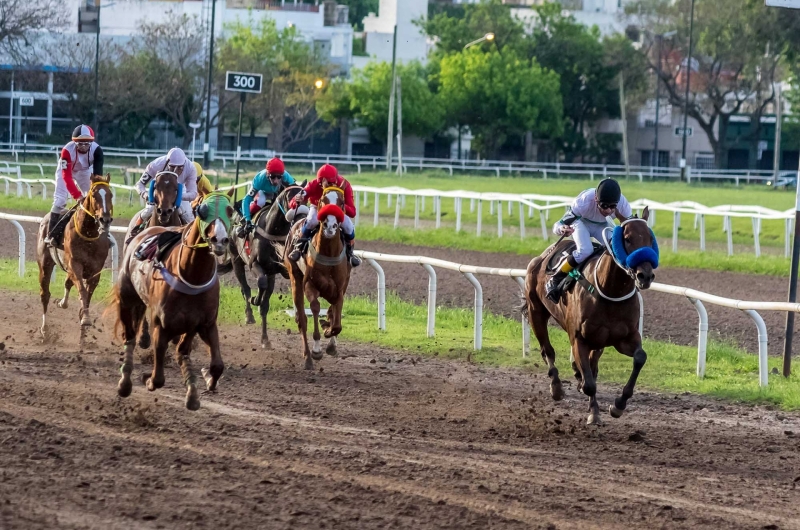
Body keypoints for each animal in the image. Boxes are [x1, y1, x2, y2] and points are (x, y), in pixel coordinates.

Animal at [36, 174, 114, 346]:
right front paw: (85, 320)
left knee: (67, 283)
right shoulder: (75, 265)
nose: (105, 220)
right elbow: (83, 292)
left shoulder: (95, 271)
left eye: (111, 195)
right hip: (45, 264)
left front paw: (83, 336)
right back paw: (44, 331)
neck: (89, 235)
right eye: (94, 195)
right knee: (45, 294)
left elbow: (86, 297)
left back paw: (62, 304)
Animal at [115, 190, 234, 408]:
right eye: (203, 210)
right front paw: (148, 379)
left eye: (230, 210)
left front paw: (205, 381)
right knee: (129, 336)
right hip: (127, 299)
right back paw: (125, 382)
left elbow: (216, 365)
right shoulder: (161, 325)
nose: (219, 241)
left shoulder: (205, 324)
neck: (192, 275)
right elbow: (158, 377)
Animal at [228, 180, 310, 346]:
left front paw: (265, 338)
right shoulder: (254, 264)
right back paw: (249, 315)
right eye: (291, 200)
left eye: (306, 199)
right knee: (245, 288)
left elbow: (265, 302)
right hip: (236, 260)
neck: (273, 230)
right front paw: (255, 299)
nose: (303, 217)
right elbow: (260, 282)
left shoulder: (279, 269)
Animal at [284, 186, 354, 368]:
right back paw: (308, 356)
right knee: (302, 318)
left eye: (342, 202)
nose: (330, 226)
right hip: (295, 277)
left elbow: (336, 318)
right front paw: (317, 349)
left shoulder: (340, 288)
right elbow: (315, 308)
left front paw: (329, 334)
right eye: (323, 199)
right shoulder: (310, 284)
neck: (328, 252)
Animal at [520, 207, 660, 424]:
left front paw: (618, 404)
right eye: (627, 239)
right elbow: (589, 383)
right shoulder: (579, 338)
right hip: (536, 312)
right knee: (547, 350)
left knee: (592, 363)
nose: (645, 276)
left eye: (650, 238)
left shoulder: (625, 338)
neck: (611, 291)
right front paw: (593, 412)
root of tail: (543, 255)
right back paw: (557, 386)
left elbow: (639, 357)